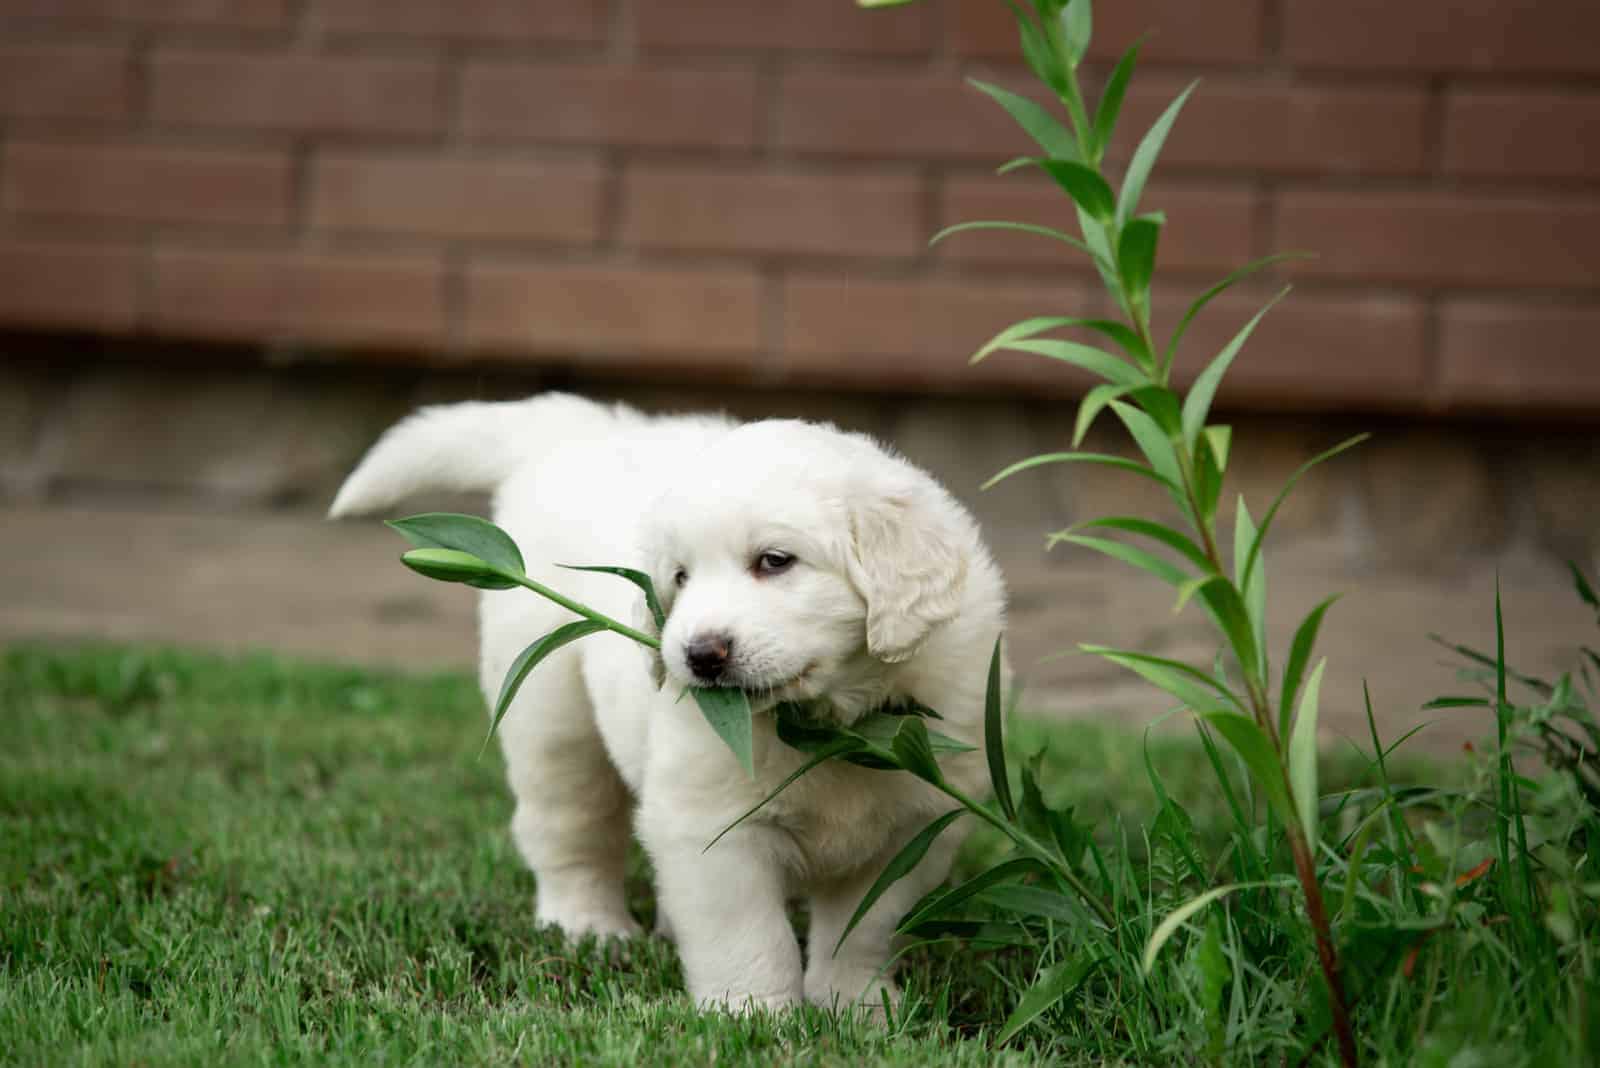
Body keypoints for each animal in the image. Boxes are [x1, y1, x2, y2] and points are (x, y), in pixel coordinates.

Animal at [331, 396, 1004, 1016]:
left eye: (775, 561)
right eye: (680, 577)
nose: (699, 655)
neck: (823, 726)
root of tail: (578, 433)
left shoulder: (915, 828)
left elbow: (864, 929)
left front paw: (857, 1008)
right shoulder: (713, 827)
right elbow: (748, 935)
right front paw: (754, 1017)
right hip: (552, 714)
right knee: (567, 828)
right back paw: (587, 925)